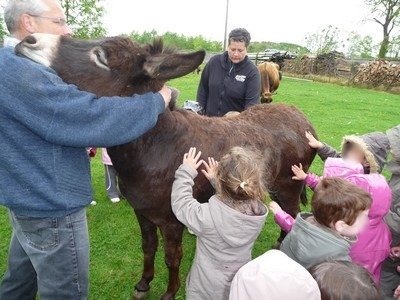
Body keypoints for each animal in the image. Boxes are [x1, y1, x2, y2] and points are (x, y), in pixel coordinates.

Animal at [14, 33, 316, 300]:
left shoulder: (171, 220)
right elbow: (148, 248)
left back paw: (281, 245)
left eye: (100, 56)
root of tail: (301, 117)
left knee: (292, 212)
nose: (27, 40)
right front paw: (143, 283)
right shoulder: (142, 212)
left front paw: (169, 293)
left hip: (288, 185)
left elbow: (172, 257)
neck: (154, 146)